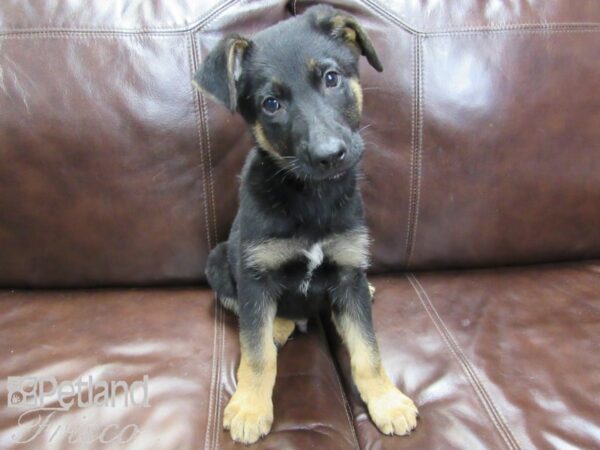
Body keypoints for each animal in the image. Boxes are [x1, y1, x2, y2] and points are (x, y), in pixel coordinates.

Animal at [193, 5, 418, 444]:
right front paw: (250, 407)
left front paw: (387, 401)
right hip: (219, 260)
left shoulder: (346, 269)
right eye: (270, 104)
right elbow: (257, 355)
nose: (330, 156)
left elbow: (368, 352)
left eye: (331, 78)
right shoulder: (255, 274)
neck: (313, 196)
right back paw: (279, 327)